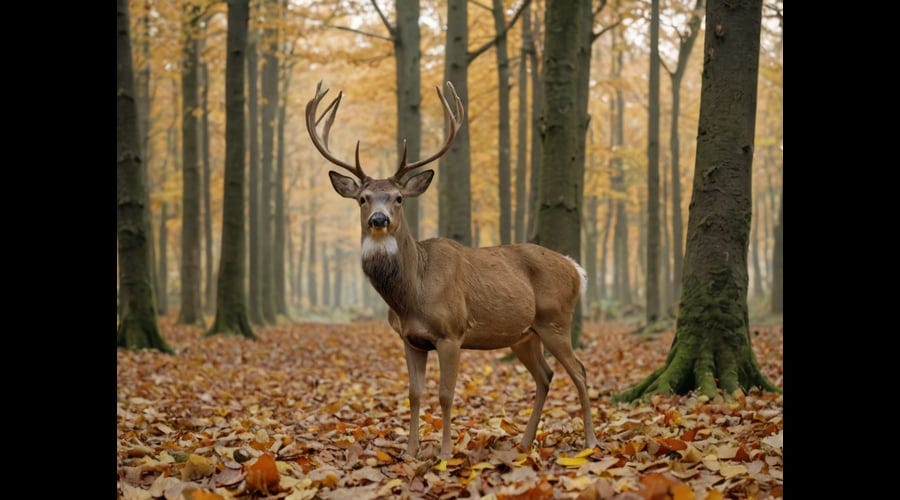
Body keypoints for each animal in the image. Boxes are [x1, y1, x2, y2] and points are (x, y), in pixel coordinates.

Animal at [304, 80, 596, 458]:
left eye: (398, 198)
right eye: (362, 199)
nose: (378, 220)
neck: (412, 294)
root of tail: (576, 269)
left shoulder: (451, 333)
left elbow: (445, 395)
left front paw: (444, 454)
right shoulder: (410, 339)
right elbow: (414, 394)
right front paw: (410, 452)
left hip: (556, 319)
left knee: (580, 371)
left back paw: (589, 442)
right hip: (525, 334)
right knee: (546, 375)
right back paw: (524, 441)